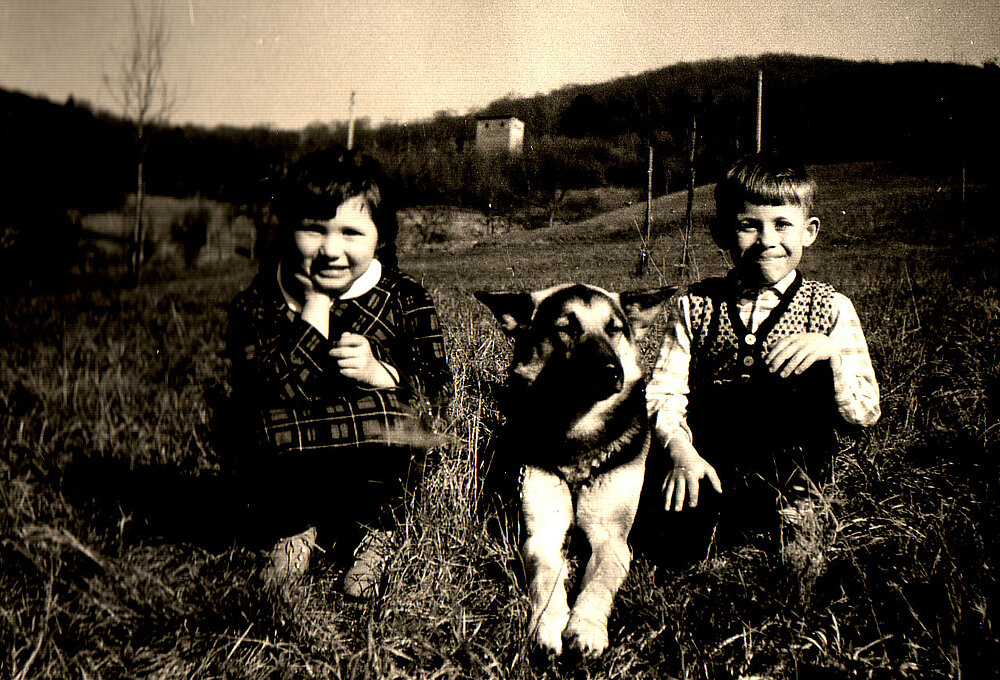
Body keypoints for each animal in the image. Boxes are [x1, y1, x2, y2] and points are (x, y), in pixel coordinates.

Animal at [476, 283, 675, 657]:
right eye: (565, 328)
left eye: (614, 328)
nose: (611, 372)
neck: (577, 442)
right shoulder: (542, 533)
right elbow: (546, 577)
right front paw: (548, 624)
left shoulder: (611, 538)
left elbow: (599, 580)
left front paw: (586, 626)